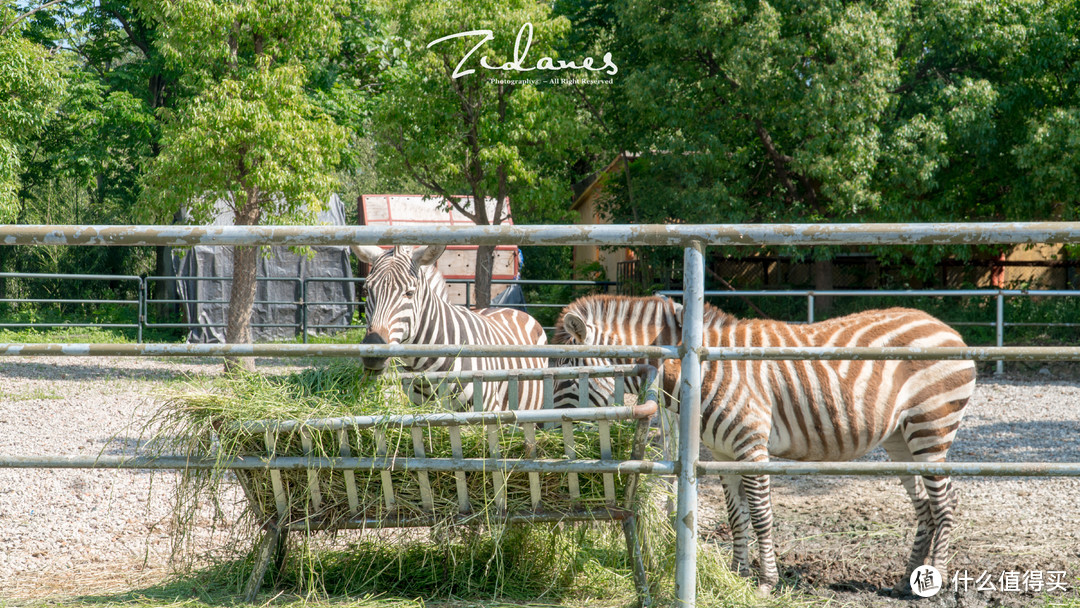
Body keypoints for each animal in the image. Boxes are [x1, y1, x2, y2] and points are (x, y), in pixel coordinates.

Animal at [552, 295, 976, 596]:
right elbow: (735, 516)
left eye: (566, 373)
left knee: (945, 502)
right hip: (899, 439)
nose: (553, 436)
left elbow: (760, 513)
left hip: (931, 427)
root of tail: (945, 328)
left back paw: (935, 582)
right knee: (924, 505)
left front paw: (766, 581)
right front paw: (737, 573)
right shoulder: (722, 454)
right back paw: (908, 579)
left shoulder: (751, 445)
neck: (702, 367)